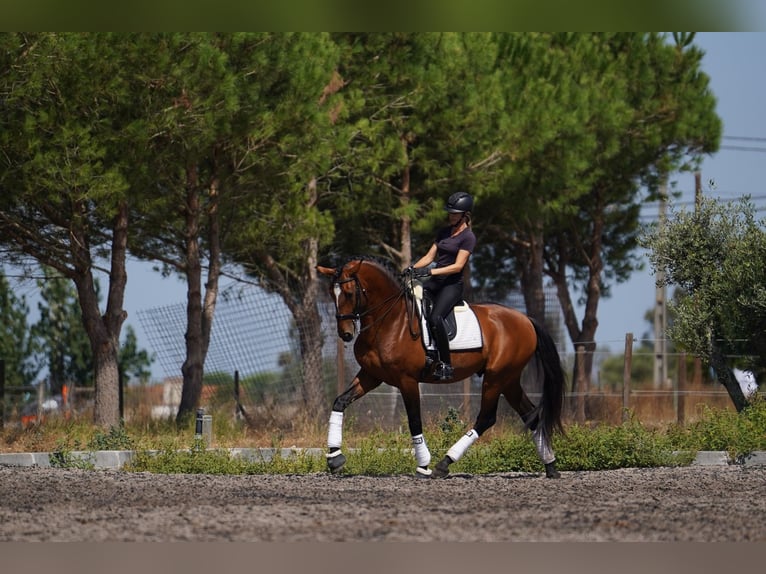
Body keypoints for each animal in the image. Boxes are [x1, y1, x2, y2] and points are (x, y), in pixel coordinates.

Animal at [316, 258, 568, 480]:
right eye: (331, 293)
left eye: (349, 293)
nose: (345, 333)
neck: (389, 321)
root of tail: (526, 320)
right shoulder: (371, 375)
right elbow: (340, 401)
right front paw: (334, 457)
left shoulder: (407, 380)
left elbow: (414, 421)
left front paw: (423, 465)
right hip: (509, 379)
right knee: (531, 415)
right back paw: (551, 466)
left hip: (496, 378)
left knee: (486, 418)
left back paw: (443, 464)